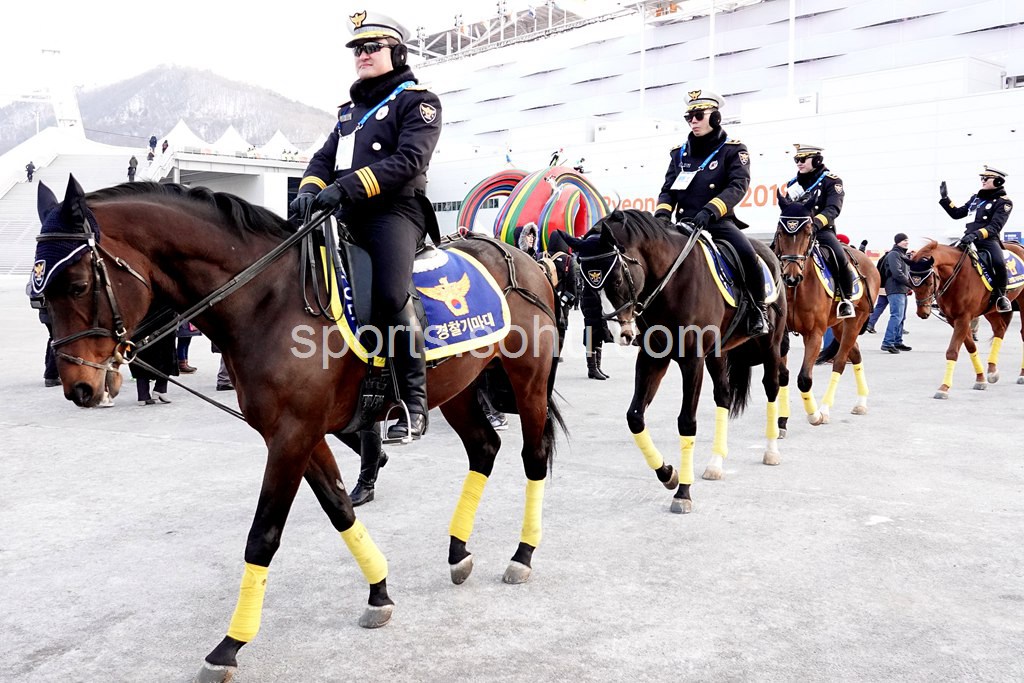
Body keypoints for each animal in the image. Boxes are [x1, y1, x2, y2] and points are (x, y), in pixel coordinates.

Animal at [34, 178, 561, 683]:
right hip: (458, 387)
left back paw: (522, 555)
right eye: (39, 295)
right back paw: (457, 552)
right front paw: (379, 593)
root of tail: (521, 257)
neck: (267, 300)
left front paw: (229, 646)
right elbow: (340, 508)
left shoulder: (291, 437)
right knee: (484, 448)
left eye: (77, 286)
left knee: (532, 457)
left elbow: (263, 536)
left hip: (528, 379)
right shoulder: (298, 435)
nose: (79, 386)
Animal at [573, 210, 786, 516]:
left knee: (772, 386)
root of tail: (769, 252)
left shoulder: (692, 360)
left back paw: (771, 450)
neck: (670, 282)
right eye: (587, 286)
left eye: (615, 281)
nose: (615, 333)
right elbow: (634, 417)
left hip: (771, 345)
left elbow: (686, 422)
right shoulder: (653, 358)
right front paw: (668, 474)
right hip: (718, 353)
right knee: (723, 395)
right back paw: (715, 463)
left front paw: (683, 491)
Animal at [774, 193, 880, 428]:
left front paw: (814, 415)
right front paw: (782, 421)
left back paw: (825, 409)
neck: (796, 290)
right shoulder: (783, 334)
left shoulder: (814, 333)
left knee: (840, 362)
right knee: (855, 354)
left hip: (855, 321)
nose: (791, 277)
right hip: (839, 324)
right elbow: (782, 375)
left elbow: (804, 378)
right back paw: (861, 402)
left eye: (808, 232)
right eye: (780, 231)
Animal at [909, 241, 1024, 397]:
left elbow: (952, 351)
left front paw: (943, 388)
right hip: (991, 309)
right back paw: (992, 371)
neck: (956, 276)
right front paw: (980, 379)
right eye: (911, 283)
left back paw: (1022, 374)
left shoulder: (963, 318)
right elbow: (971, 346)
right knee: (999, 329)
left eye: (929, 283)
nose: (922, 312)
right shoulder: (953, 319)